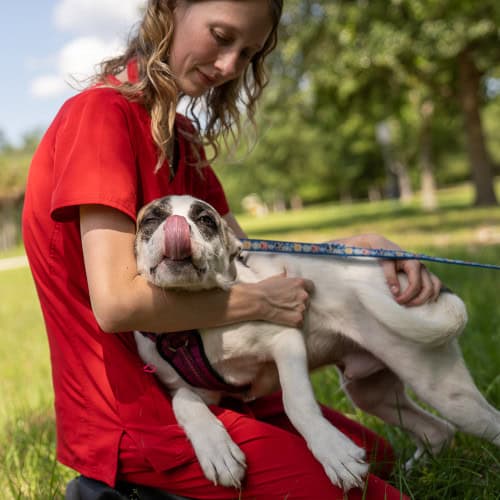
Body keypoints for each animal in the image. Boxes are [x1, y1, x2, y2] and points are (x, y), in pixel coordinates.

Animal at [134, 195, 500, 492]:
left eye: (206, 220)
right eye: (151, 219)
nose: (177, 226)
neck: (198, 322)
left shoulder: (285, 340)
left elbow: (297, 403)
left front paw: (333, 452)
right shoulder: (192, 387)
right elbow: (184, 404)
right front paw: (216, 449)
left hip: (443, 388)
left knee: (485, 423)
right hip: (372, 394)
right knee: (438, 430)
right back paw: (417, 474)